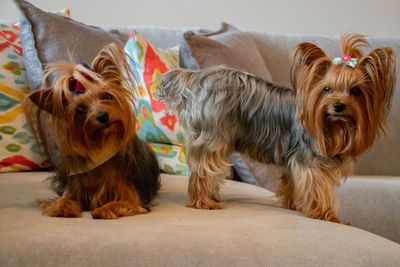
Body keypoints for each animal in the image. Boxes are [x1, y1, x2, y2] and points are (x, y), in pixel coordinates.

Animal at [23, 43, 160, 220]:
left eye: (107, 95)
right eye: (81, 109)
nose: (102, 116)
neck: (102, 147)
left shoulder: (133, 198)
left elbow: (123, 203)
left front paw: (104, 209)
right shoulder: (73, 188)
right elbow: (64, 199)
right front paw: (62, 207)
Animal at [158, 34, 396, 224]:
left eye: (355, 91)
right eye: (327, 89)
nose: (338, 106)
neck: (333, 127)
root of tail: (198, 77)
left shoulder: (293, 160)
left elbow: (291, 184)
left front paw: (294, 206)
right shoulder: (310, 162)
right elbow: (319, 189)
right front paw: (327, 216)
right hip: (213, 135)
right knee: (204, 169)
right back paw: (204, 201)